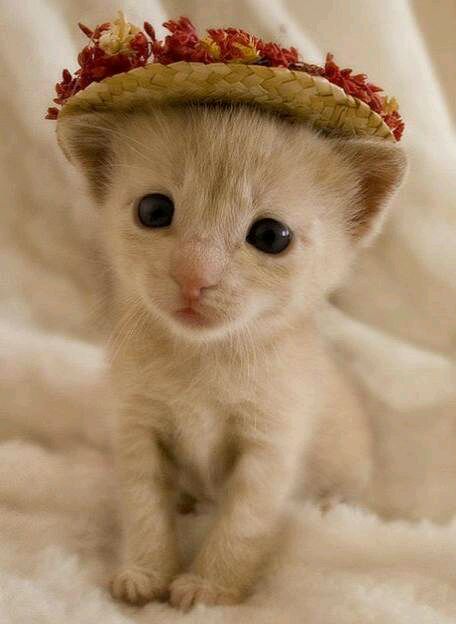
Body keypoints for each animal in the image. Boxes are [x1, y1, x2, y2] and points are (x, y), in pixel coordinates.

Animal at [59, 103, 406, 610]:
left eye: (271, 236)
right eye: (154, 210)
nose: (192, 277)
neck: (205, 357)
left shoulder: (272, 443)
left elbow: (243, 523)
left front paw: (211, 588)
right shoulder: (135, 425)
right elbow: (144, 506)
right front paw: (147, 572)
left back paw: (327, 508)